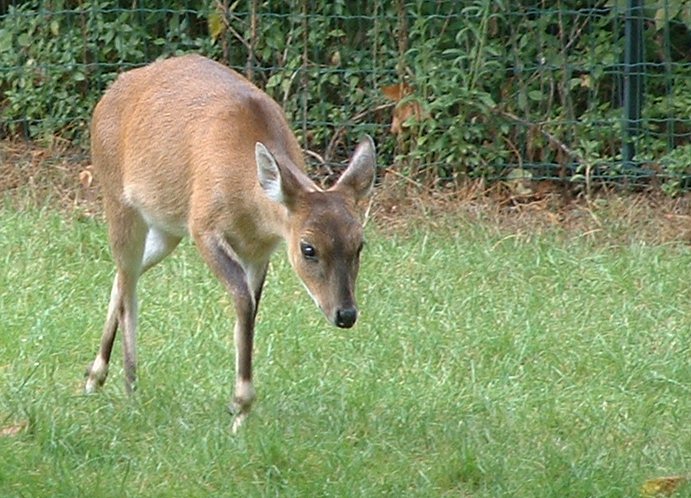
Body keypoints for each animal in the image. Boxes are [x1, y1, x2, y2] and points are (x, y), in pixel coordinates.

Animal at [84, 54, 376, 432]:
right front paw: (240, 402)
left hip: (166, 227)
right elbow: (241, 299)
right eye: (308, 248)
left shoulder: (260, 250)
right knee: (128, 279)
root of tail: (110, 92)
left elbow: (250, 308)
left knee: (123, 275)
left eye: (360, 244)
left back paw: (95, 375)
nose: (346, 314)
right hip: (118, 197)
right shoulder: (203, 225)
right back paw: (128, 382)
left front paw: (240, 417)